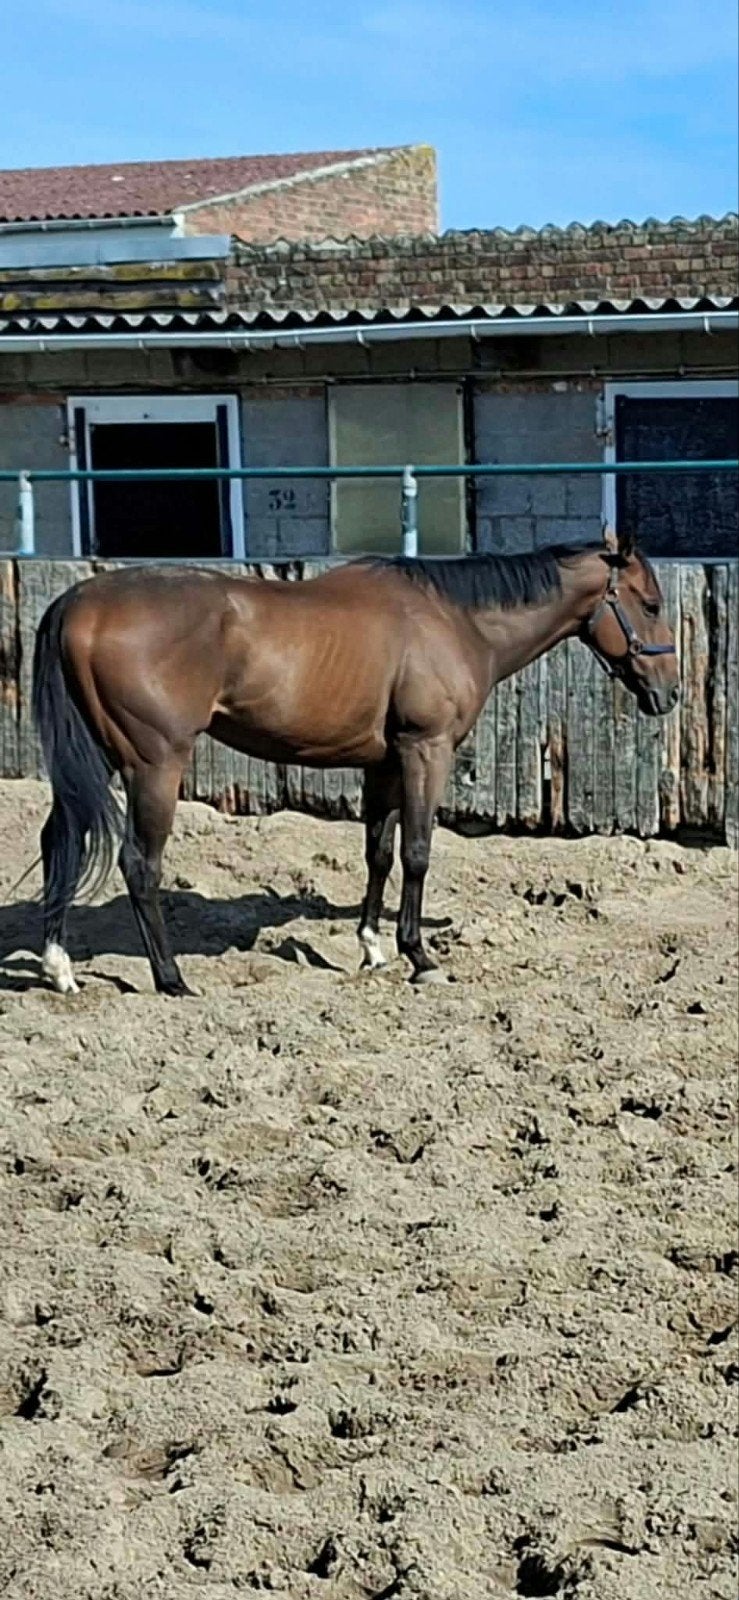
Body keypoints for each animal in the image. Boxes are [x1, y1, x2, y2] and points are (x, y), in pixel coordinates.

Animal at [31, 532, 678, 998]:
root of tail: (77, 603)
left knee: (62, 841)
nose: (669, 694)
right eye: (649, 604)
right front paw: (419, 956)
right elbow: (416, 852)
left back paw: (58, 966)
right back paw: (171, 980)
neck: (452, 618)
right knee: (139, 864)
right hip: (154, 764)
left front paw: (372, 947)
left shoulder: (386, 762)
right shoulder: (426, 750)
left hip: (93, 760)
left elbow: (380, 852)